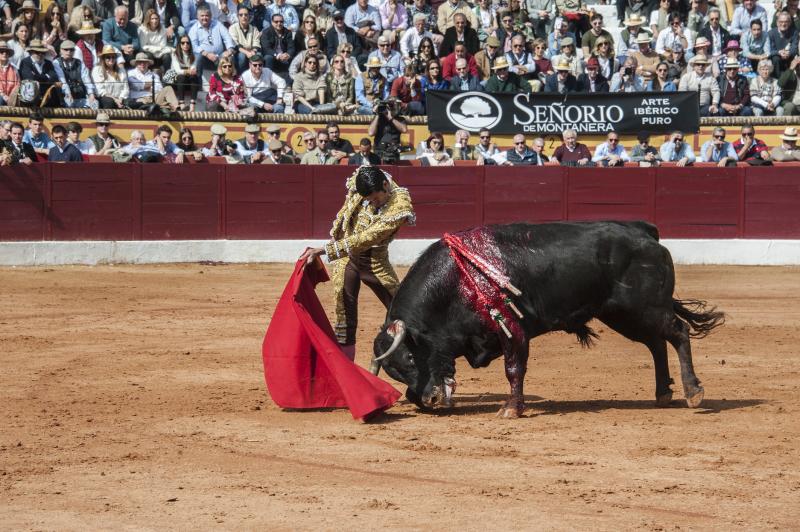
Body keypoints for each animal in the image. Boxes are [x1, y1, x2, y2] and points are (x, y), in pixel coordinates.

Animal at [376, 222, 724, 418]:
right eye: (395, 371)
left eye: (410, 357)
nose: (428, 399)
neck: (457, 281)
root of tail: (646, 234)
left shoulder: (513, 330)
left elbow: (514, 368)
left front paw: (511, 409)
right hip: (623, 314)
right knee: (655, 343)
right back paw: (663, 393)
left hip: (644, 307)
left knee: (677, 332)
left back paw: (693, 392)